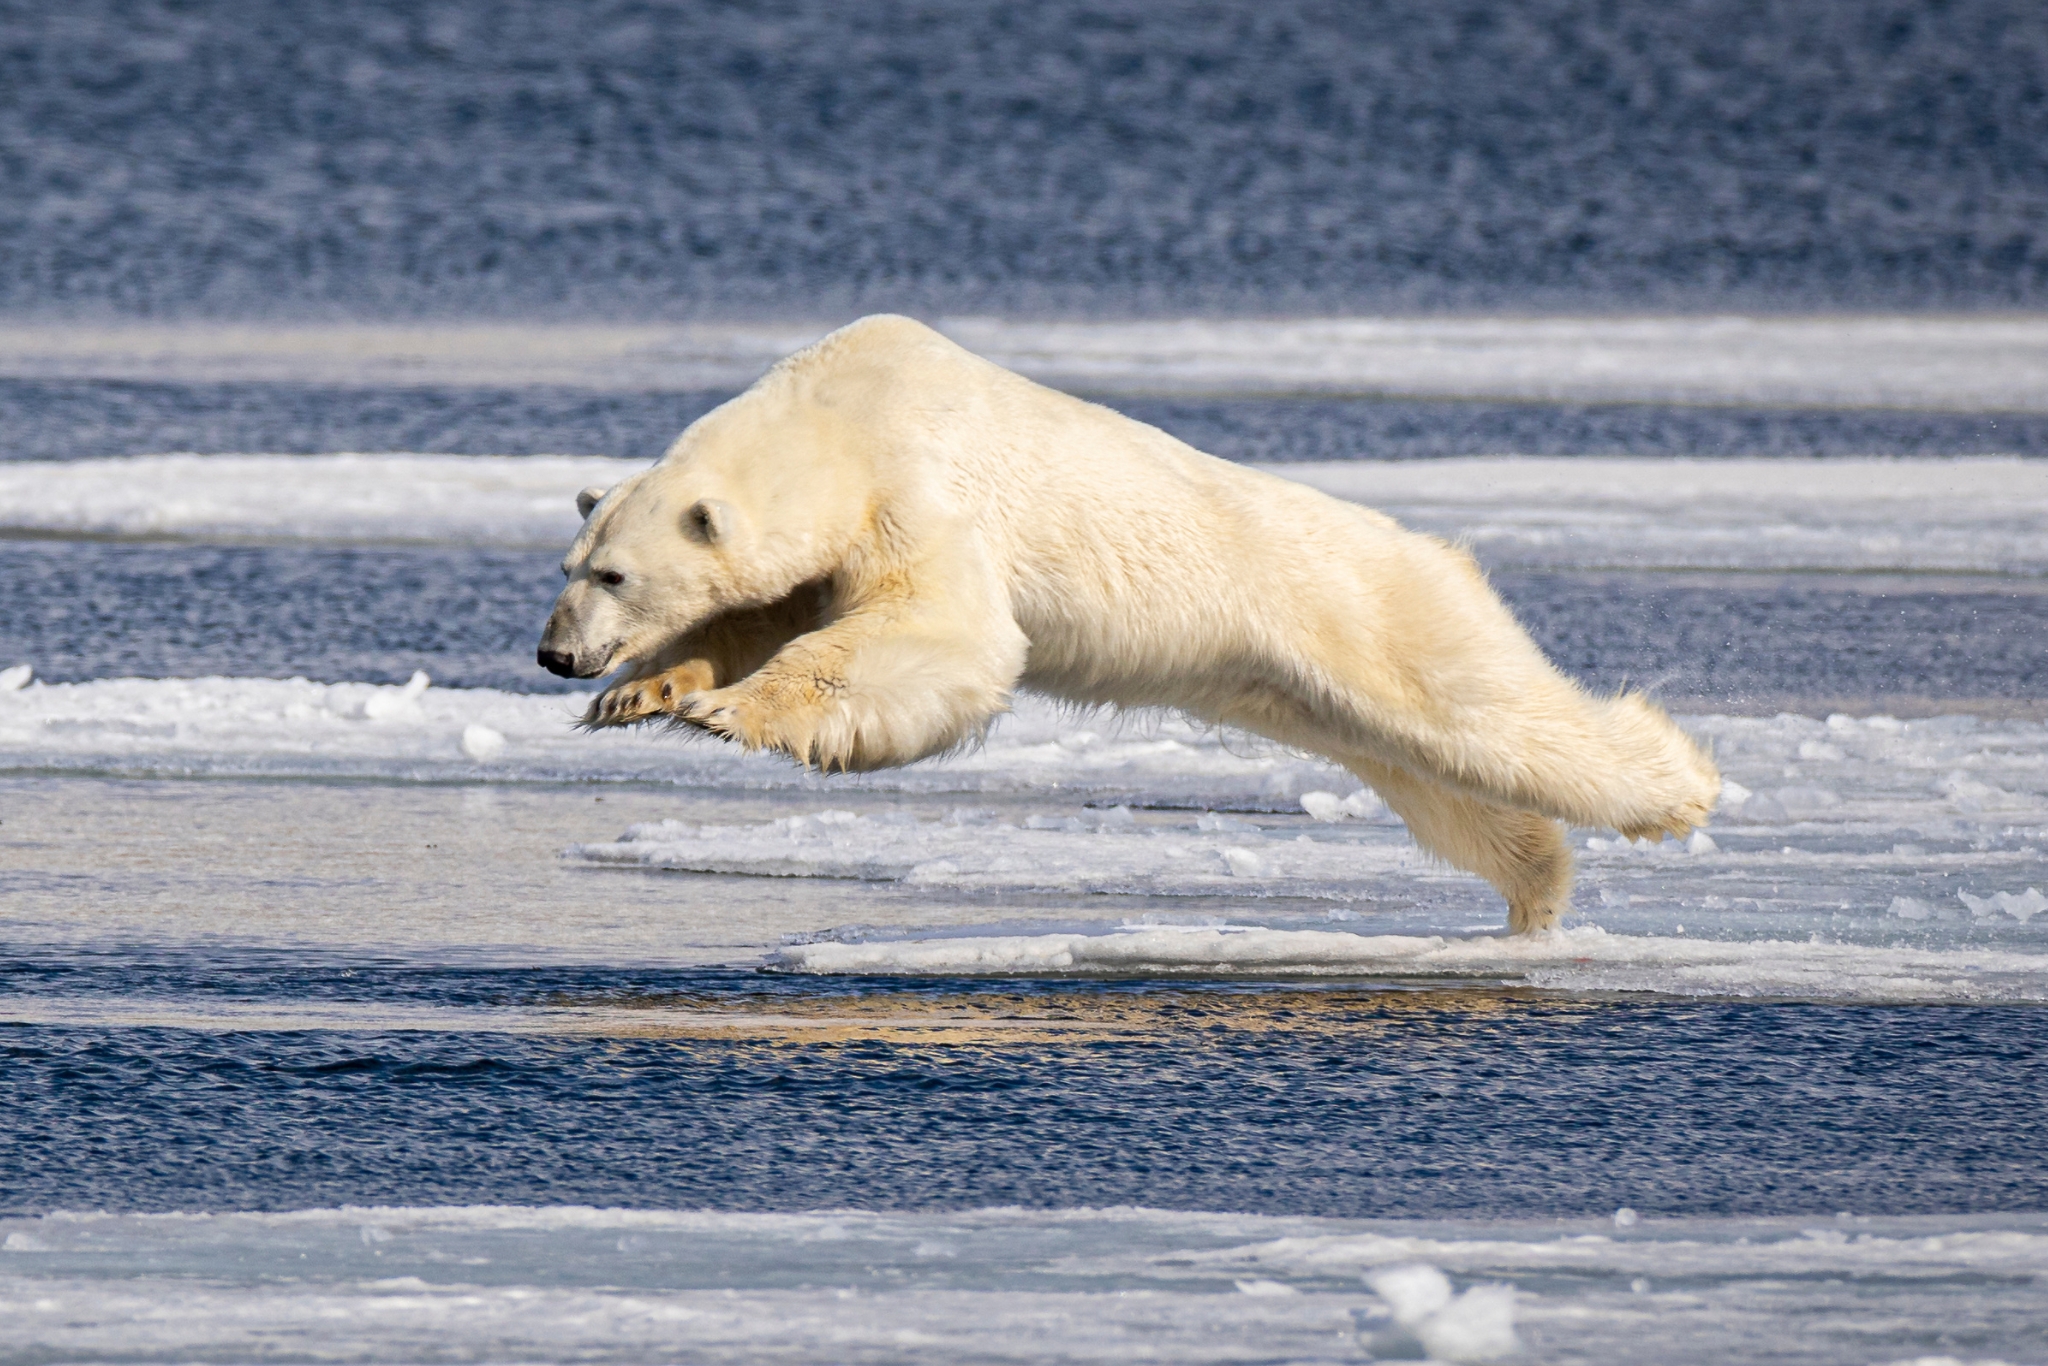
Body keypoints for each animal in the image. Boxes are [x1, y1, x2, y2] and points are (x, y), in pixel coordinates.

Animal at [538, 315, 1719, 933]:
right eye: (571, 566)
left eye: (613, 573)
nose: (554, 653)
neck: (836, 419)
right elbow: (760, 611)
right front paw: (644, 694)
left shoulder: (918, 489)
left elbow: (945, 634)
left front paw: (735, 713)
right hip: (1300, 688)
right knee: (1431, 777)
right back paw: (1535, 885)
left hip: (1367, 605)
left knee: (1480, 708)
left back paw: (1683, 790)